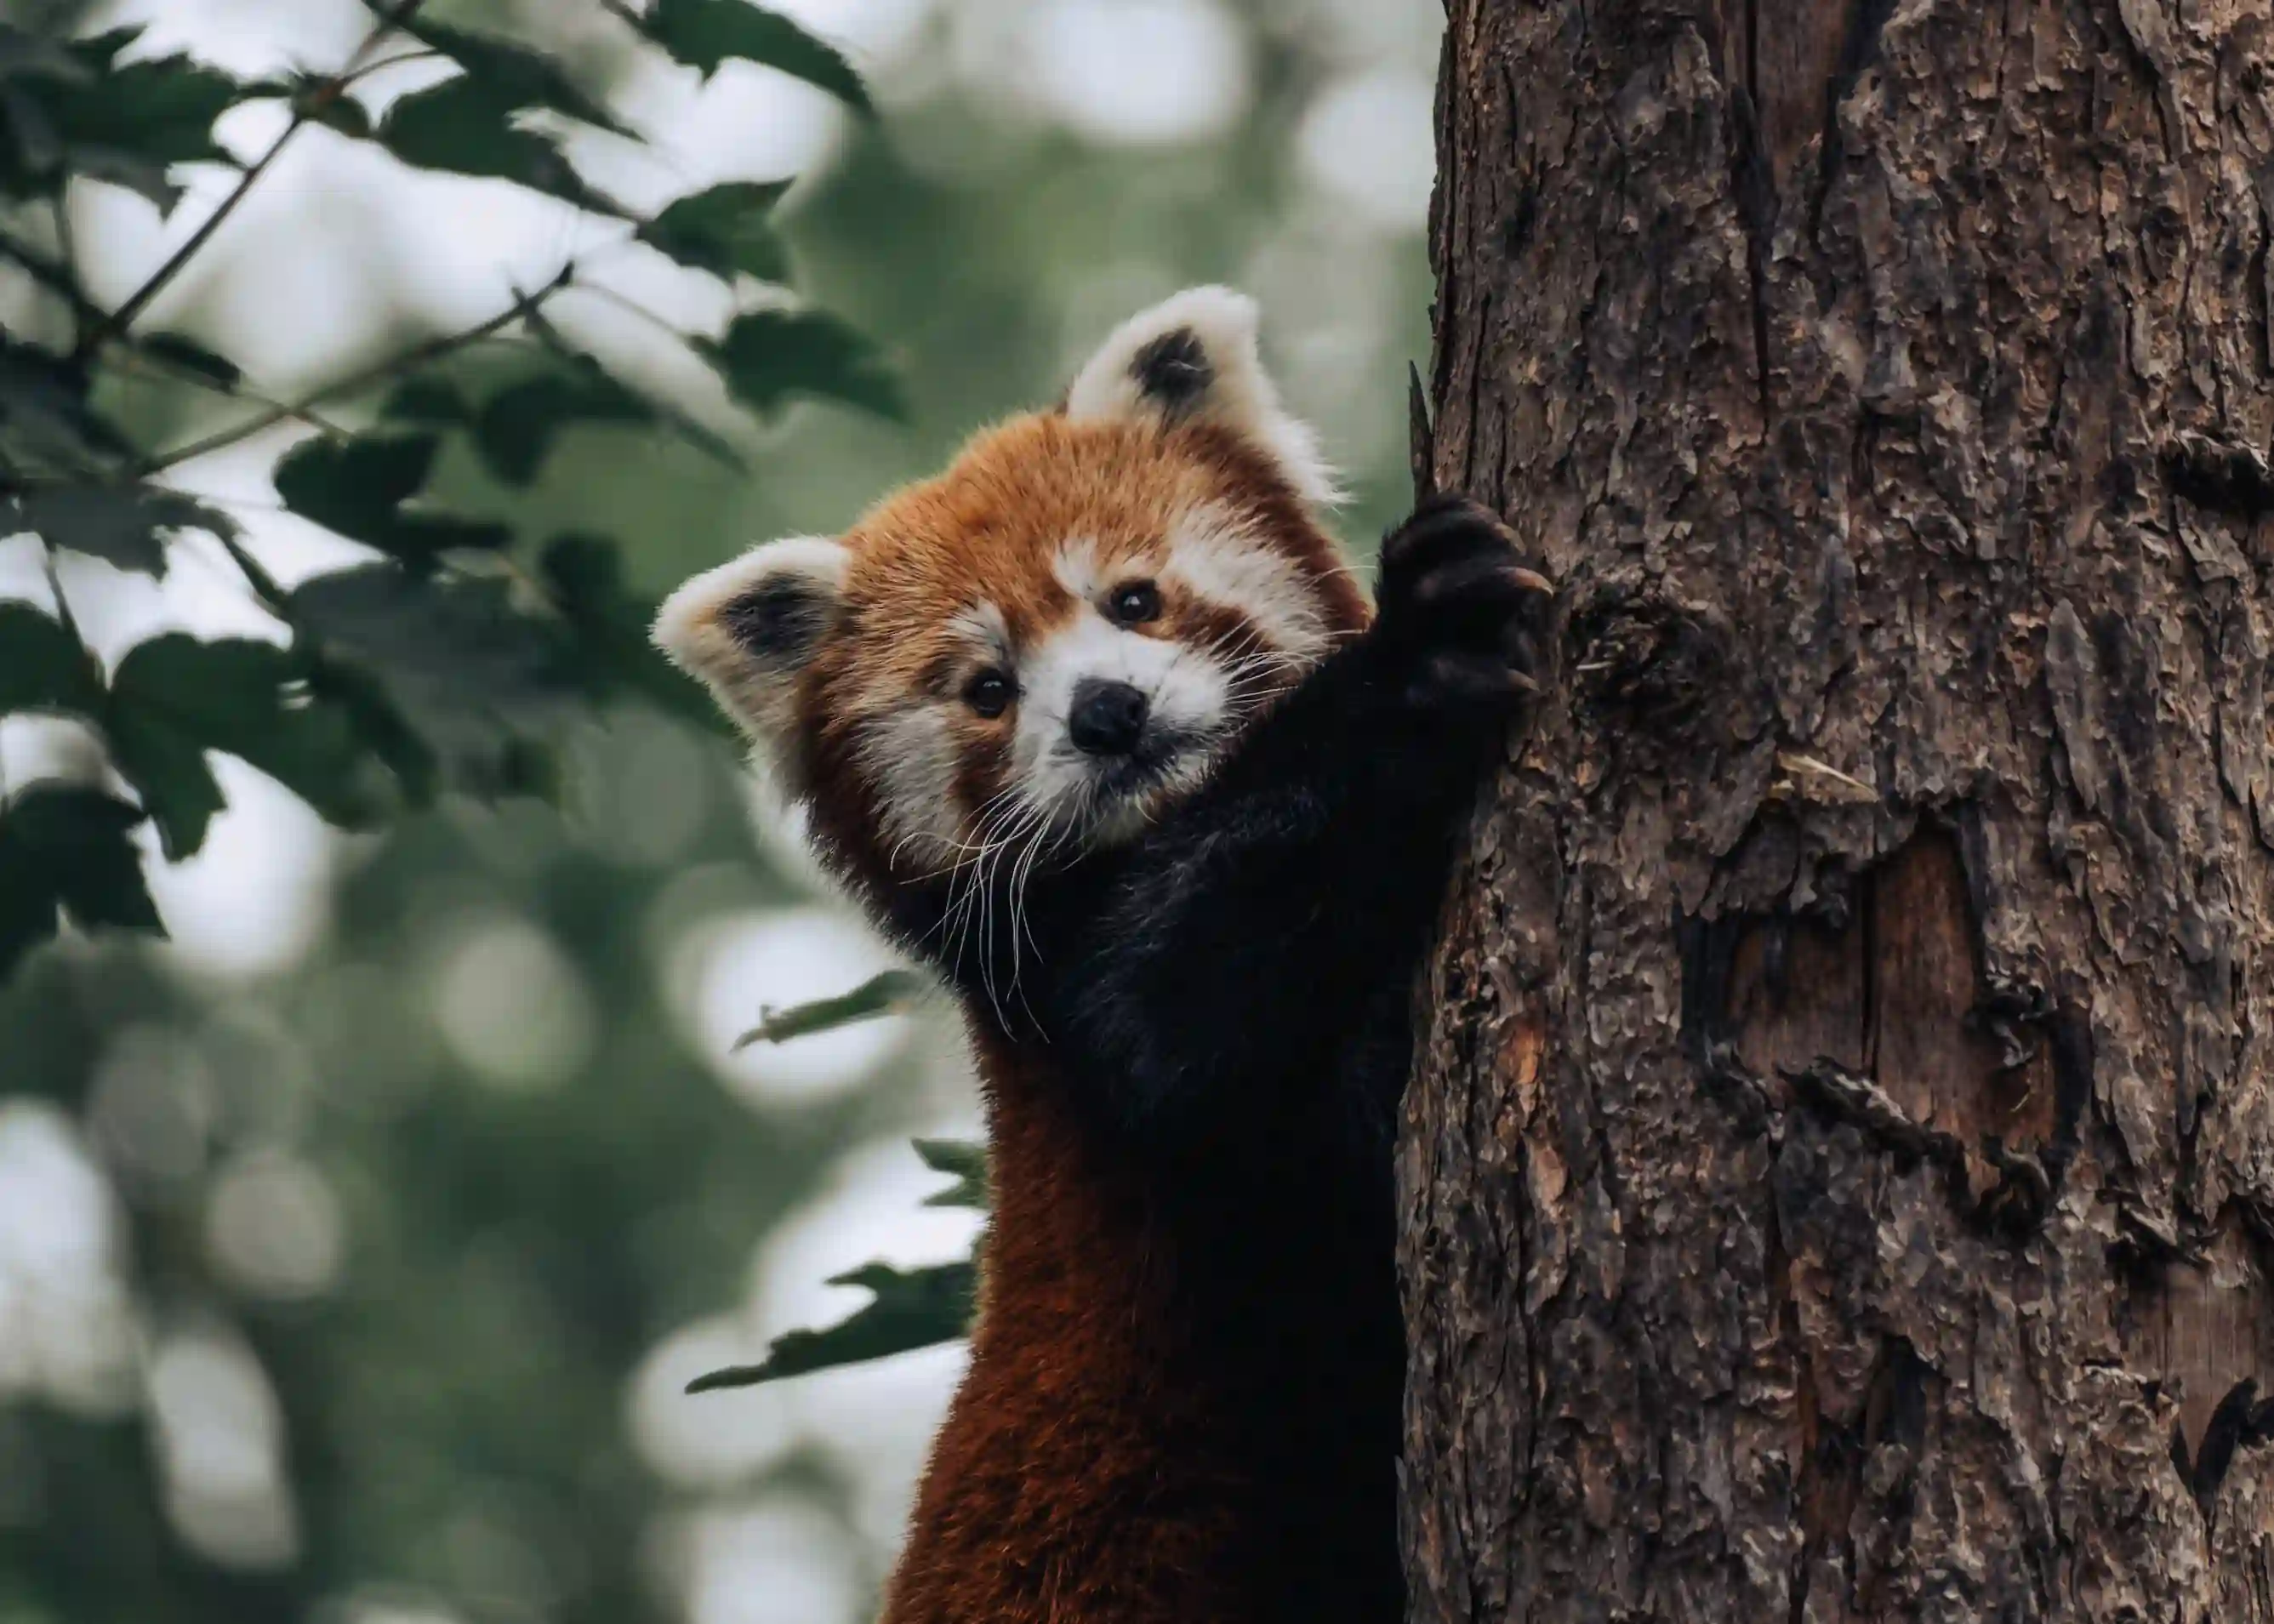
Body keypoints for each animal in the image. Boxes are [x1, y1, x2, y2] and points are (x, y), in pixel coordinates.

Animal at [654, 287, 1549, 1624]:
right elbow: (1174, 1025)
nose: (1108, 714)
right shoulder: (1097, 1045)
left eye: (1132, 600)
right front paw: (1412, 656)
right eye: (986, 688)